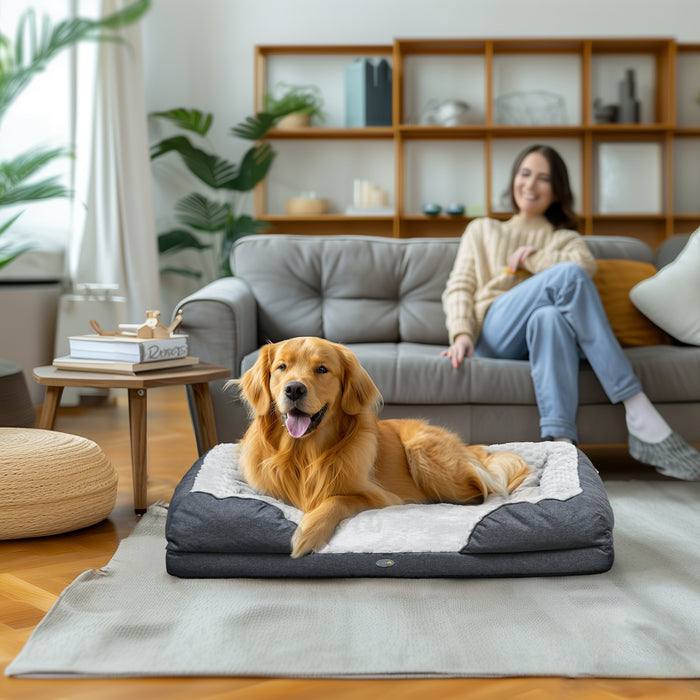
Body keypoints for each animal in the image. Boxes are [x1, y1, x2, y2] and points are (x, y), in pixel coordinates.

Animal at [237, 336, 532, 560]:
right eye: (281, 367)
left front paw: (307, 532)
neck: (304, 454)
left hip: (422, 452)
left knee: (476, 493)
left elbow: (337, 499)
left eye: (321, 369)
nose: (294, 389)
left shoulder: (380, 498)